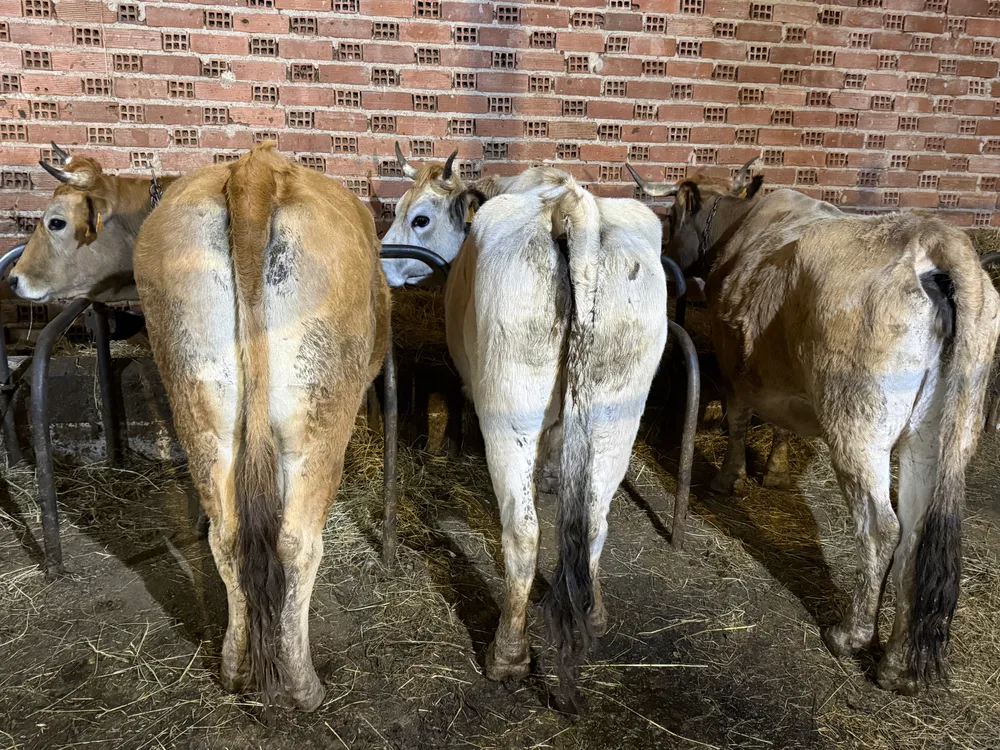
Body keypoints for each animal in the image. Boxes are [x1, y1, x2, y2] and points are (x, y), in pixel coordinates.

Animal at [133, 142, 391, 710]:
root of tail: (255, 169)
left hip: (200, 408)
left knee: (228, 537)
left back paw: (234, 670)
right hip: (318, 423)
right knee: (297, 541)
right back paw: (303, 685)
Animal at [384, 146, 667, 706]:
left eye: (419, 217)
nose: (381, 265)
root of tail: (571, 207)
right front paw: (554, 478)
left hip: (510, 406)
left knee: (523, 529)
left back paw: (508, 655)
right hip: (619, 410)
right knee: (595, 519)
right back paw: (593, 613)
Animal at [628, 164, 1000, 694]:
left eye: (673, 215)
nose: (668, 260)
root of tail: (938, 241)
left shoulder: (737, 363)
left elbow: (740, 420)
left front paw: (728, 479)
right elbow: (782, 426)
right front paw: (776, 472)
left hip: (858, 425)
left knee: (882, 528)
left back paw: (849, 635)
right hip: (938, 432)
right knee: (914, 536)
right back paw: (894, 666)